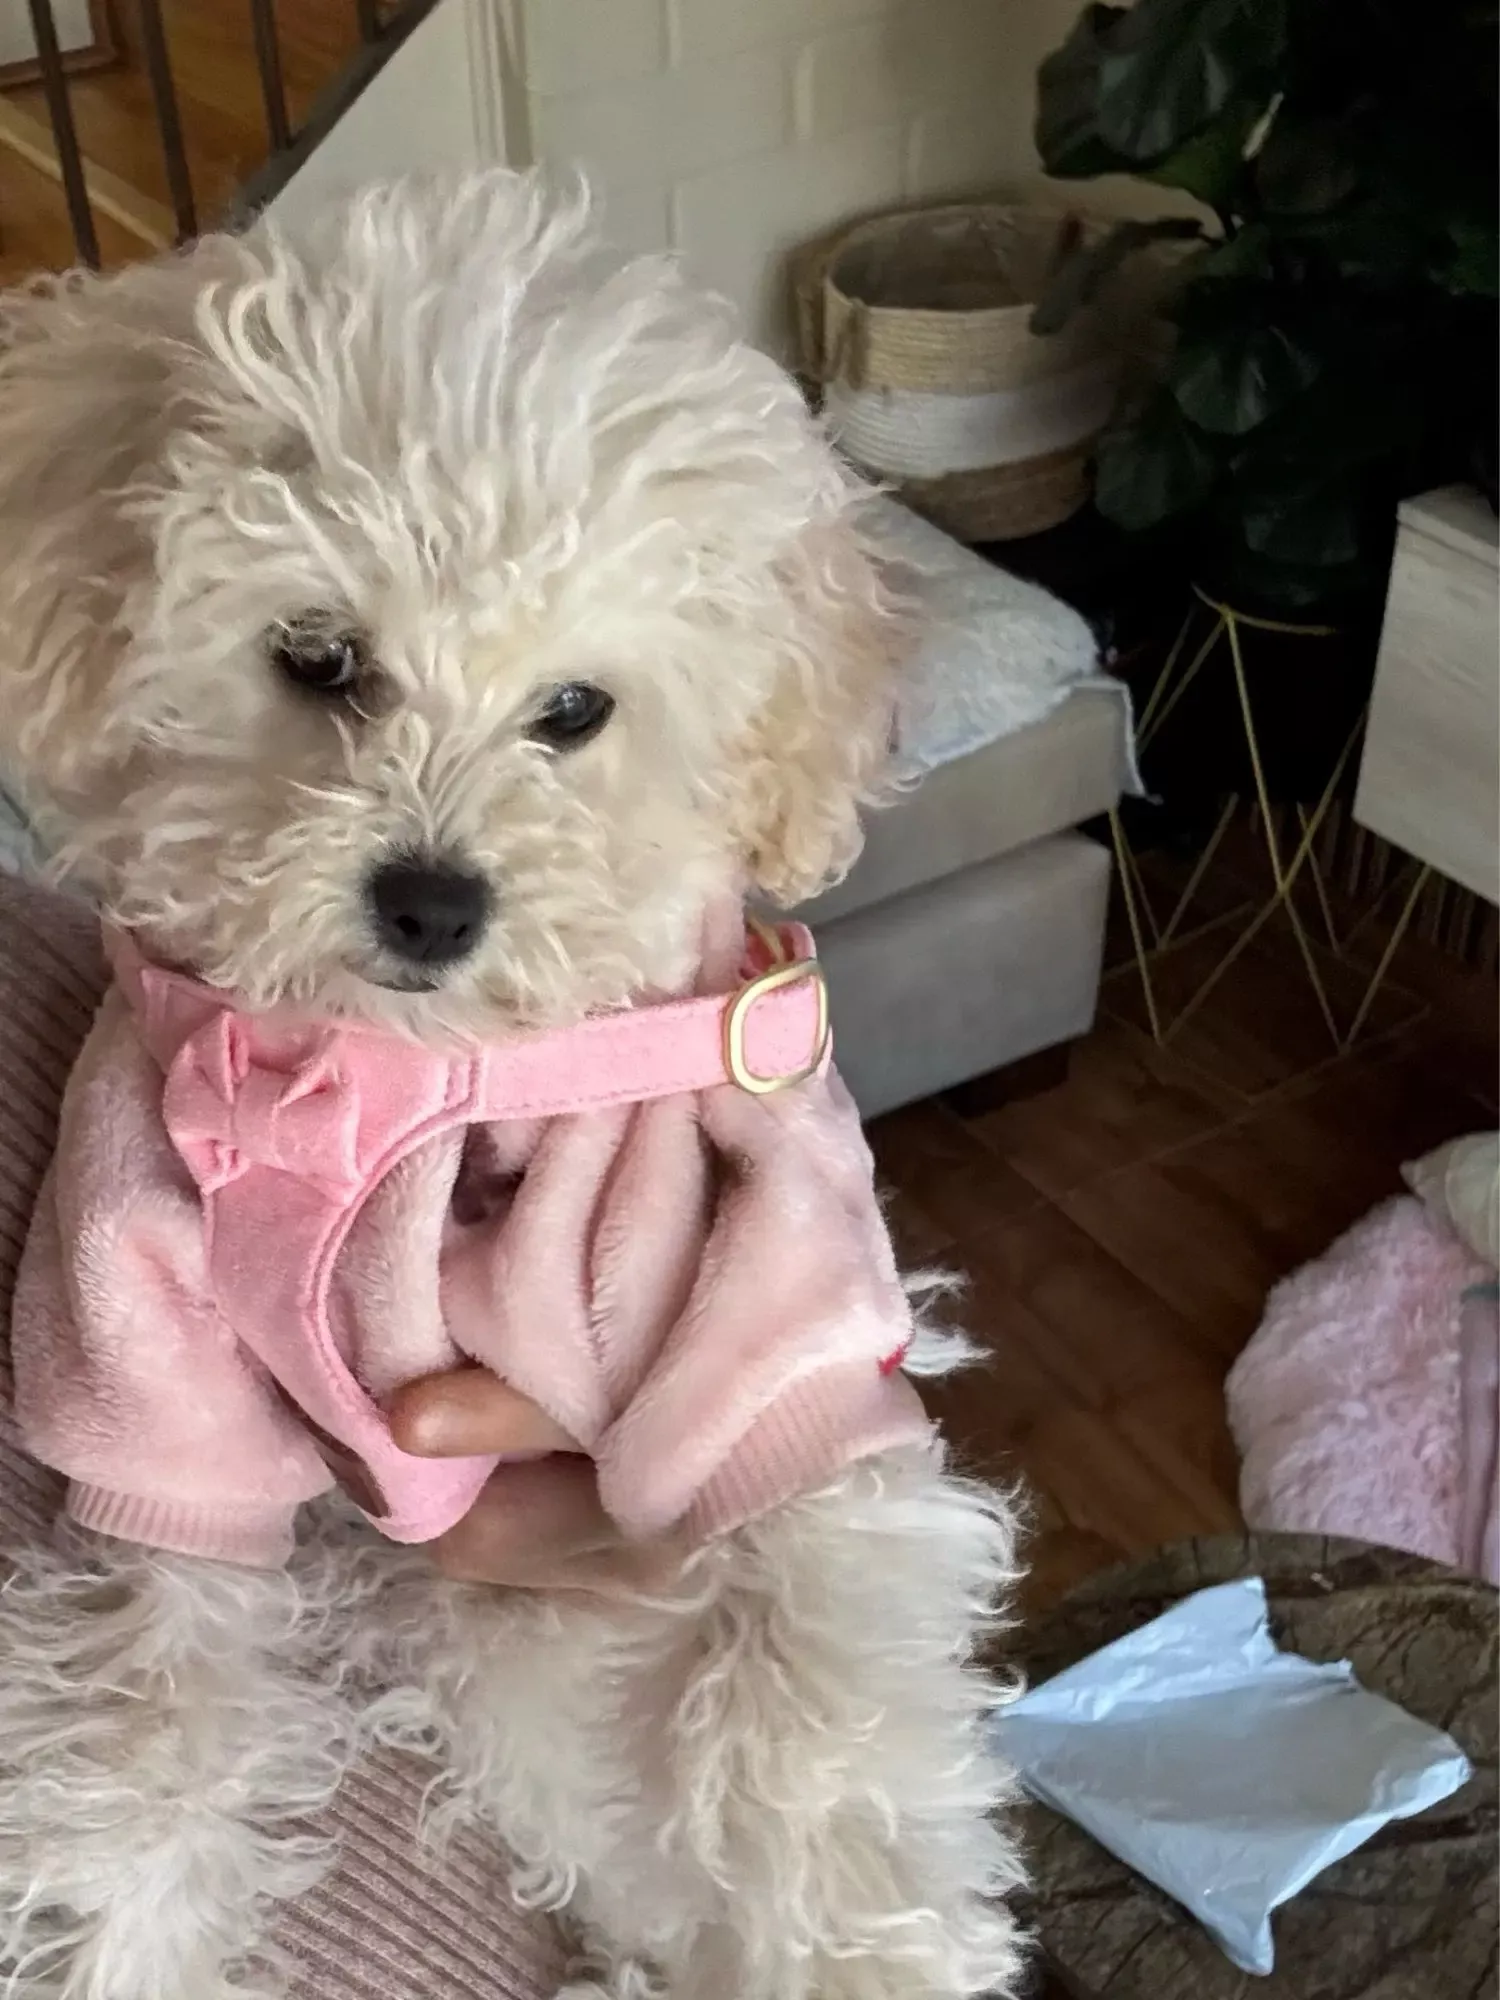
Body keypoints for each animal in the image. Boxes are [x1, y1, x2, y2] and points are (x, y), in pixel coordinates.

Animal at [0, 173, 1025, 2000]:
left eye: (575, 709)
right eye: (319, 658)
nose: (430, 902)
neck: (414, 1092)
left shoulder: (780, 1337)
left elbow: (823, 1716)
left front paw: (864, 1950)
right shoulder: (139, 1359)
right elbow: (147, 1721)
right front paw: (123, 1941)